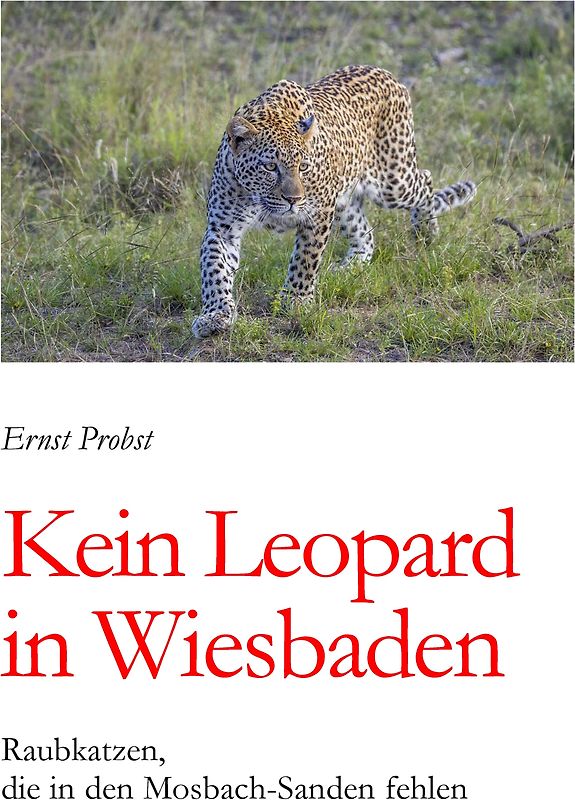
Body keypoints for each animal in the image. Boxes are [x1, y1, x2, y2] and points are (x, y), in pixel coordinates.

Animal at [192, 64, 476, 338]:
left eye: (303, 167)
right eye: (270, 167)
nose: (293, 199)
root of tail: (388, 74)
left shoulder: (317, 213)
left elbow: (305, 260)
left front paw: (295, 300)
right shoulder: (223, 227)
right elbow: (214, 270)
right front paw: (215, 315)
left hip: (393, 181)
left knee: (425, 178)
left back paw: (425, 232)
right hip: (346, 201)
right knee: (365, 235)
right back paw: (350, 266)